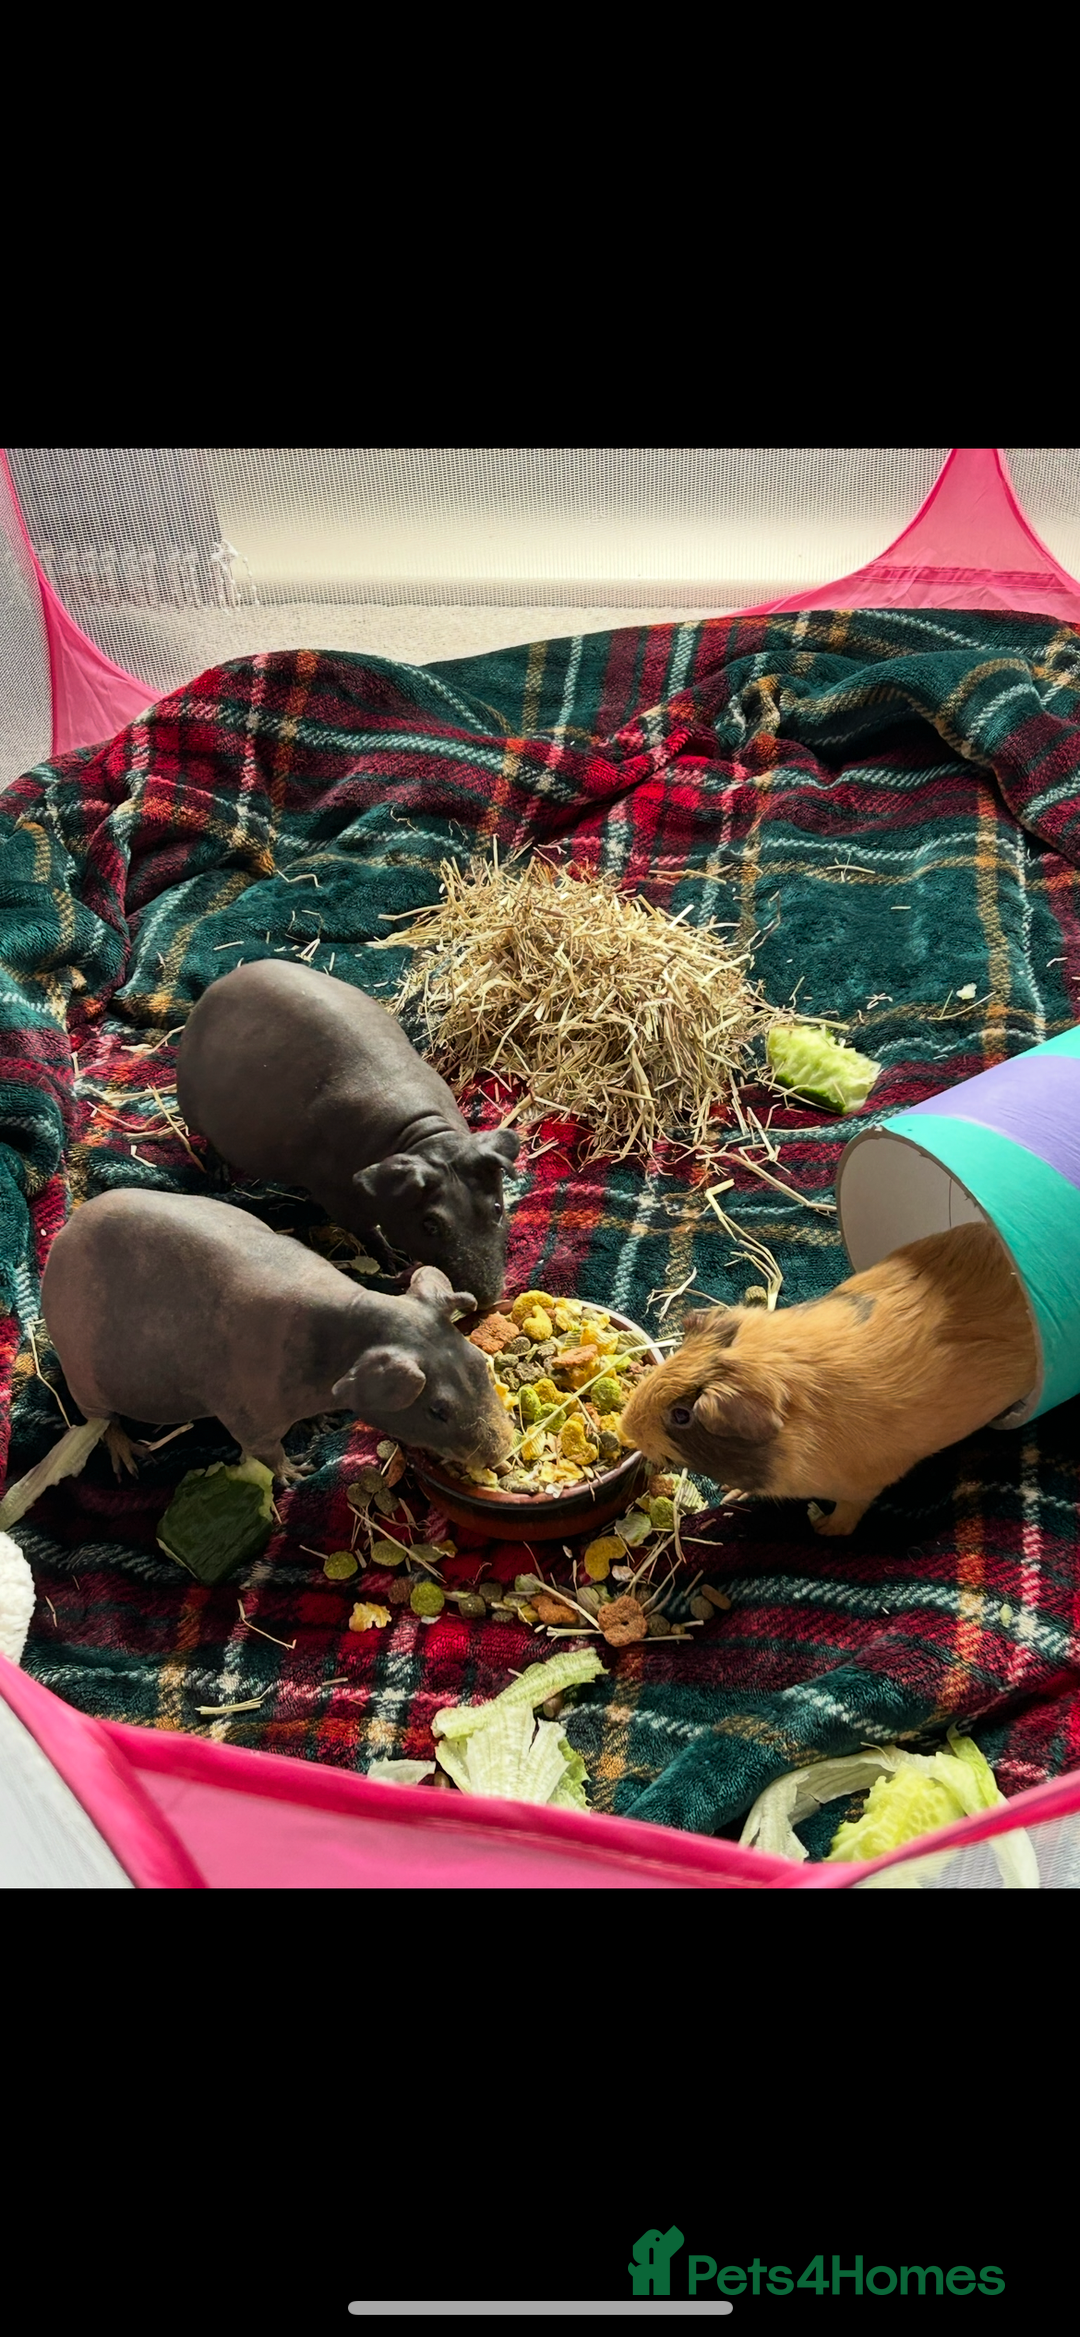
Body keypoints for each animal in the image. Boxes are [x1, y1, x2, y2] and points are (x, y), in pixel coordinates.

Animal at [40, 1189, 514, 1484]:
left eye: (480, 1365)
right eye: (437, 1411)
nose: (501, 1452)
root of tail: (66, 1235)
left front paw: (320, 1422)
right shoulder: (249, 1418)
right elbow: (268, 1451)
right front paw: (296, 1472)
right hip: (87, 1384)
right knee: (102, 1424)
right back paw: (129, 1458)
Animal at [175, 960, 520, 1305]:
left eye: (497, 1207)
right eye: (430, 1224)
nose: (488, 1297)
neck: (421, 1137)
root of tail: (224, 981)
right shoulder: (340, 1200)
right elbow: (367, 1231)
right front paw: (395, 1261)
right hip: (195, 1109)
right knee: (210, 1144)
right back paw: (220, 1178)